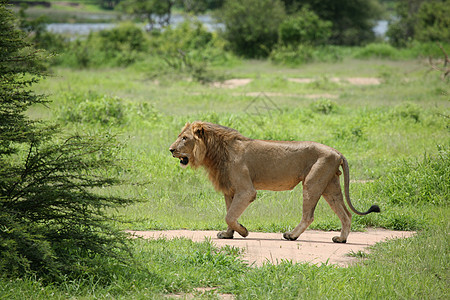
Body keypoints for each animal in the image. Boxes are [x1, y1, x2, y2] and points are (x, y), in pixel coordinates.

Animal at [169, 120, 380, 243]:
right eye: (180, 137)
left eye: (185, 138)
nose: (171, 149)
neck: (215, 152)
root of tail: (337, 151)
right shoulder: (230, 190)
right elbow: (230, 213)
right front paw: (228, 234)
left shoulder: (246, 190)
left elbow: (229, 215)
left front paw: (243, 231)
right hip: (330, 186)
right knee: (346, 214)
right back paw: (341, 239)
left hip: (312, 183)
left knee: (309, 215)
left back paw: (291, 235)